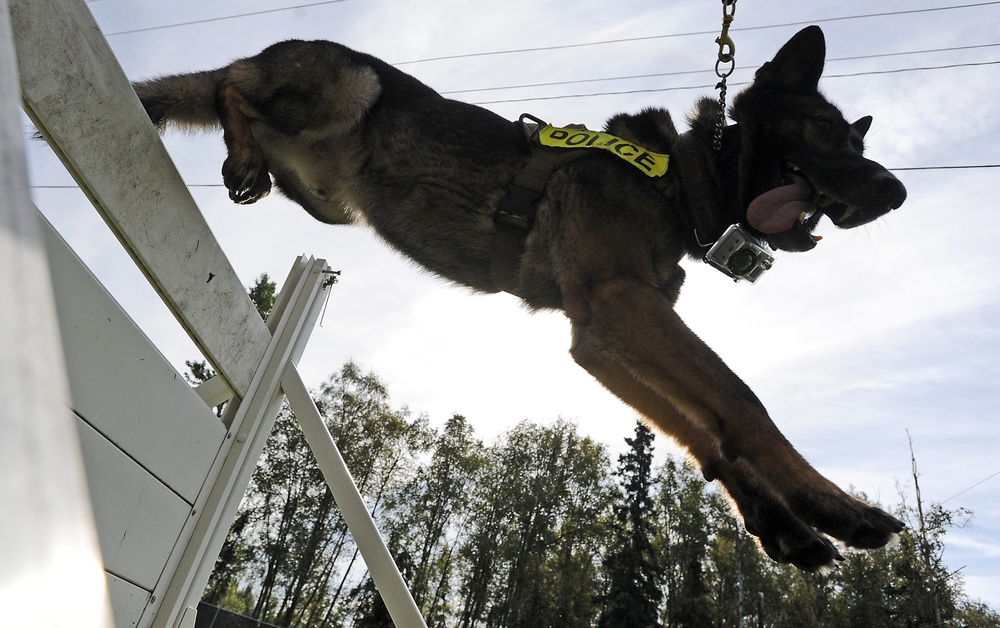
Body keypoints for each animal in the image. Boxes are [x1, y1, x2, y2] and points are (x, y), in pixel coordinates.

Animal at [137, 25, 912, 568]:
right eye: (823, 132)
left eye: (856, 140)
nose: (895, 193)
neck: (678, 177)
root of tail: (267, 51)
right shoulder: (621, 304)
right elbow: (741, 401)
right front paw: (830, 504)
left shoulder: (600, 336)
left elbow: (699, 428)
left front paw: (777, 523)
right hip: (352, 82)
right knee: (230, 93)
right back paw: (241, 150)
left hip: (331, 202)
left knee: (232, 105)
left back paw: (250, 158)